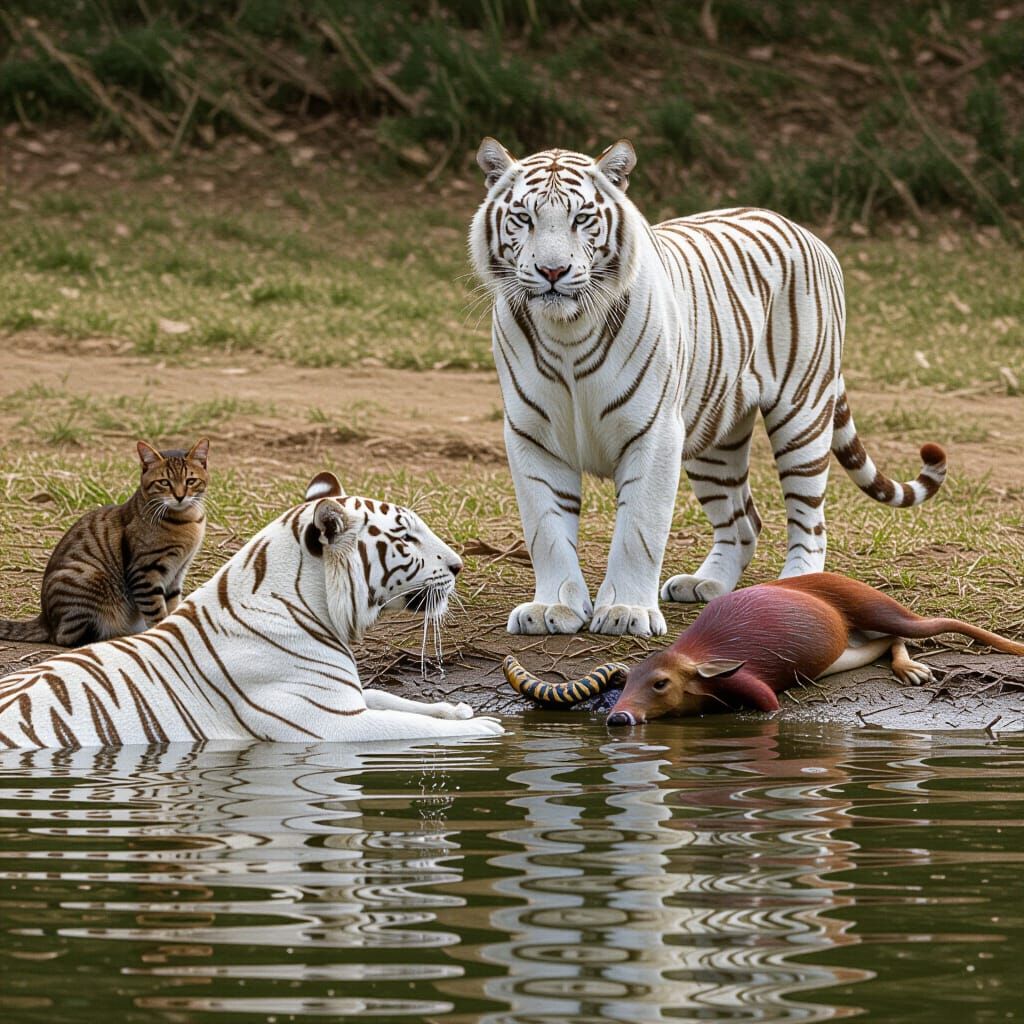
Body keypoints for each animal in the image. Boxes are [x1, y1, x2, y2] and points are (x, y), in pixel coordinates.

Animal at [0, 472, 503, 749]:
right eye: (405, 538)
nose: (458, 565)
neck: (314, 608)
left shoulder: (346, 697)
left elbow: (398, 700)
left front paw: (458, 709)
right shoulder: (330, 723)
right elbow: (407, 724)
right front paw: (486, 728)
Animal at [469, 137, 946, 638]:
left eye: (582, 218)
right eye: (524, 218)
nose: (553, 271)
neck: (567, 330)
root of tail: (804, 230)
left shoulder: (655, 432)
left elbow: (638, 530)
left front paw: (626, 611)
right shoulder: (532, 435)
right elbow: (546, 530)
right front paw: (553, 608)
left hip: (801, 413)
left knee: (810, 522)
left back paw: (796, 587)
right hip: (713, 434)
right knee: (744, 523)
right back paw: (706, 584)